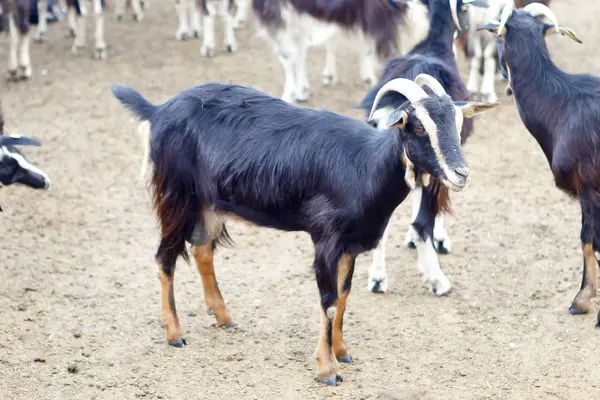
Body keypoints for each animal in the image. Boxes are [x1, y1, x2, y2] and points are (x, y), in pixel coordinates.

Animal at [112, 76, 496, 384]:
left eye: (457, 122)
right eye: (417, 127)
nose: (461, 173)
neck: (365, 165)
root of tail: (158, 110)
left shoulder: (351, 244)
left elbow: (344, 295)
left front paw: (342, 350)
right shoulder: (326, 238)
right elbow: (329, 302)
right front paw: (327, 370)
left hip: (209, 203)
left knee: (203, 249)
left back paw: (223, 316)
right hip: (176, 194)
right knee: (165, 257)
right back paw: (175, 332)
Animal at [358, 0, 490, 294]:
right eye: (420, 127)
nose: (464, 174)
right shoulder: (439, 170)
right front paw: (439, 241)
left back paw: (377, 279)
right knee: (422, 222)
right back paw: (437, 280)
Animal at [478, 3, 600, 326]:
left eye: (497, 39)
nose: (504, 82)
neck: (561, 105)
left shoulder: (590, 188)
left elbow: (589, 240)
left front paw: (583, 302)